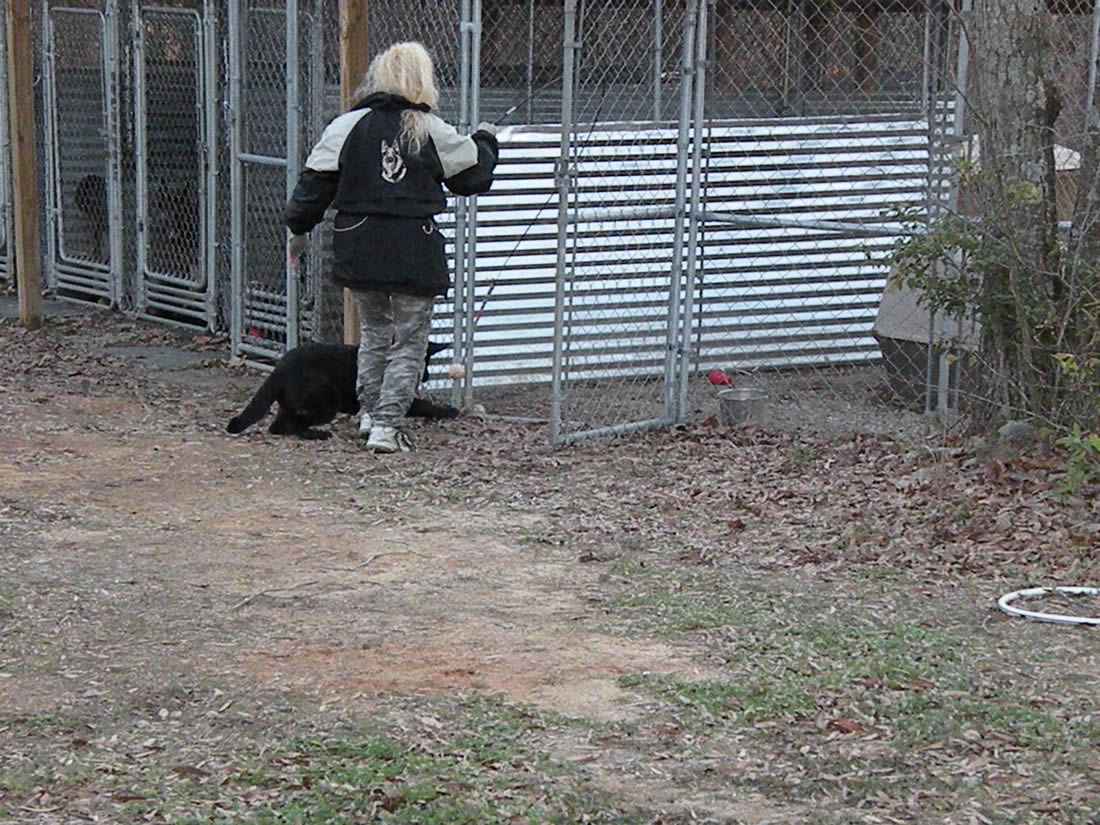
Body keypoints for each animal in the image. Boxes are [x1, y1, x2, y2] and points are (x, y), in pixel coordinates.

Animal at [226, 340, 458, 440]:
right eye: (425, 362)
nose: (427, 377)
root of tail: (280, 368)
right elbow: (426, 405)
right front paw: (449, 411)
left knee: (277, 426)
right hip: (326, 404)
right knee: (291, 424)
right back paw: (315, 434)